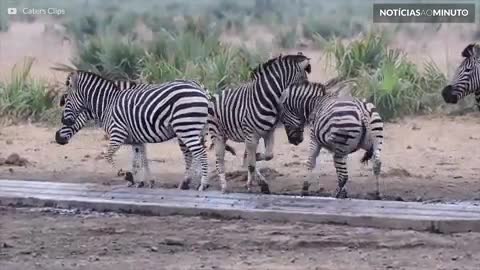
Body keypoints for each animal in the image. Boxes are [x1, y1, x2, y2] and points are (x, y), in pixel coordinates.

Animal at [59, 70, 210, 191]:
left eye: (66, 99)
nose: (57, 138)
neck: (108, 105)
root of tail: (201, 90)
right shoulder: (137, 139)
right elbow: (139, 160)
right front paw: (141, 181)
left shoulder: (118, 133)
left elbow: (108, 156)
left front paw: (127, 176)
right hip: (191, 130)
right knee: (194, 154)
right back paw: (190, 183)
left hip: (186, 128)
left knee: (200, 154)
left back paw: (202, 184)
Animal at [210, 52, 312, 193]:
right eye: (305, 83)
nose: (299, 140)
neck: (266, 99)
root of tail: (213, 95)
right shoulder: (251, 136)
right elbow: (252, 164)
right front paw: (250, 185)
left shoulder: (268, 133)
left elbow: (268, 155)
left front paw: (257, 159)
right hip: (218, 135)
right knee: (219, 161)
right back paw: (224, 187)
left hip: (227, 135)